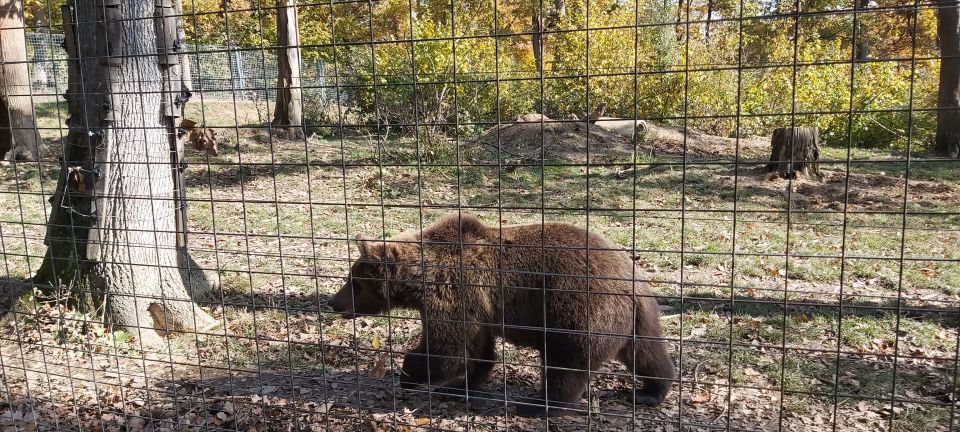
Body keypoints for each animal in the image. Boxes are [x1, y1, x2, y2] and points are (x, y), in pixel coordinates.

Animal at [330, 213, 676, 416]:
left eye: (354, 282)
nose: (334, 302)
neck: (419, 280)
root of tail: (631, 278)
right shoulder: (477, 308)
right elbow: (477, 351)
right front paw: (459, 385)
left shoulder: (453, 293)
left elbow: (448, 348)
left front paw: (408, 375)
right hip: (637, 317)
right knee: (647, 353)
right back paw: (651, 392)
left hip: (577, 308)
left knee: (567, 362)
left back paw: (537, 405)